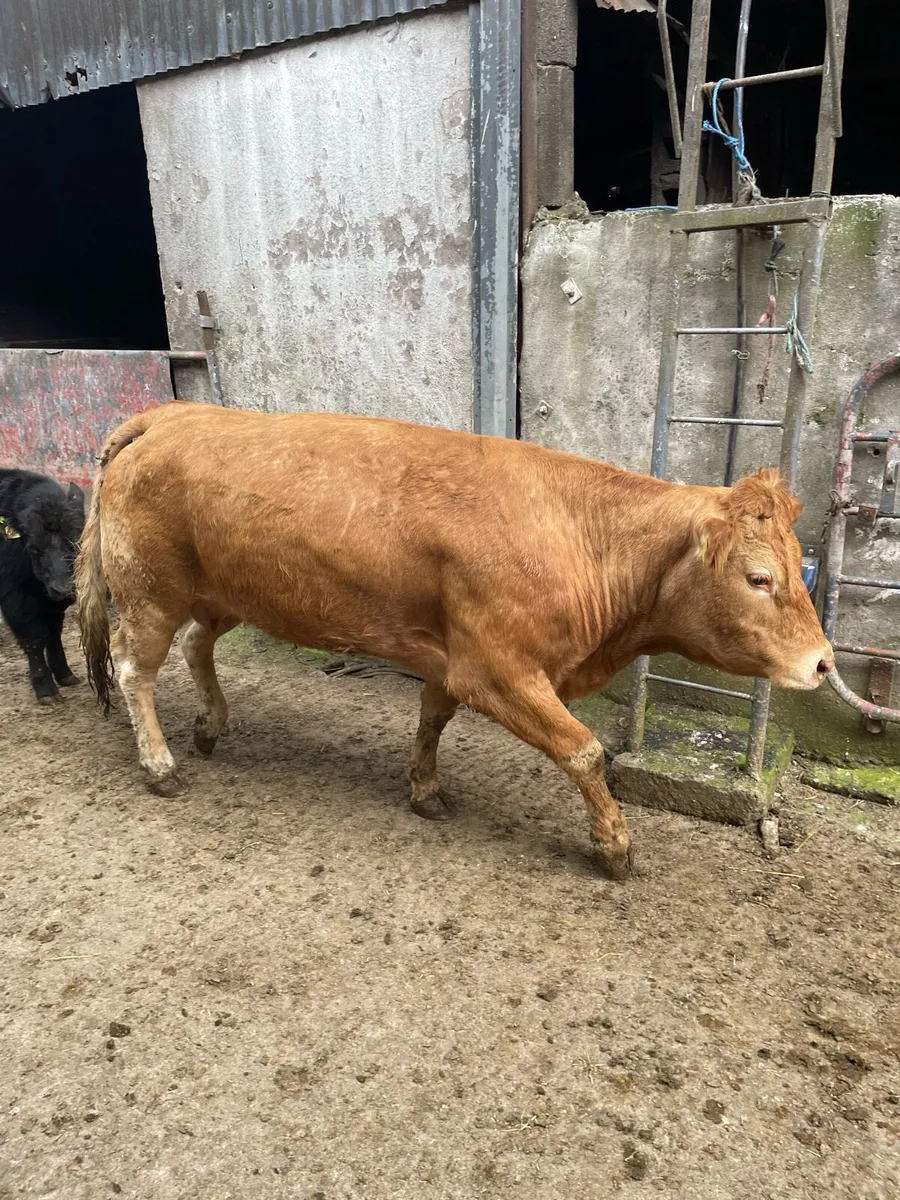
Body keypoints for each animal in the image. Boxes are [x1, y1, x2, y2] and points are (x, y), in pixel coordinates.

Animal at [0, 468, 86, 702]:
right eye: (33, 547)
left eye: (76, 541)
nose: (63, 589)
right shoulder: (15, 599)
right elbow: (35, 638)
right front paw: (44, 687)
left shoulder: (52, 604)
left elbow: (53, 634)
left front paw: (64, 674)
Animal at [76, 403, 833, 879]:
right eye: (759, 577)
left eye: (798, 566)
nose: (824, 663)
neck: (577, 532)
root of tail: (172, 414)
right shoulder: (498, 669)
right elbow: (586, 752)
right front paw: (614, 845)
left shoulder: (448, 660)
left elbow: (431, 724)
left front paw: (424, 791)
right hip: (149, 593)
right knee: (135, 669)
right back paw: (161, 764)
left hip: (220, 594)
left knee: (195, 647)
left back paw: (210, 725)